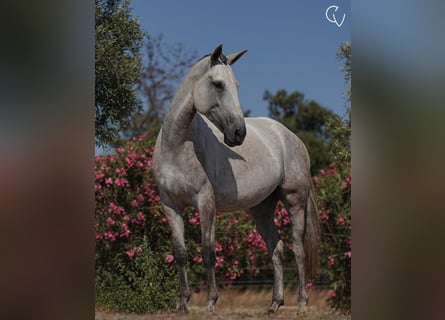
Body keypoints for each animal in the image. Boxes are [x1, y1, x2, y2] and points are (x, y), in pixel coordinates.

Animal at [153, 45, 320, 316]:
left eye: (237, 85)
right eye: (218, 84)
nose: (239, 134)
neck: (176, 146)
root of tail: (290, 136)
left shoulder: (205, 202)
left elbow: (208, 251)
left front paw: (210, 303)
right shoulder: (170, 205)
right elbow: (180, 253)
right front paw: (183, 304)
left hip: (294, 200)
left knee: (298, 249)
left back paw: (302, 306)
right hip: (262, 209)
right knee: (277, 249)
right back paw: (274, 304)